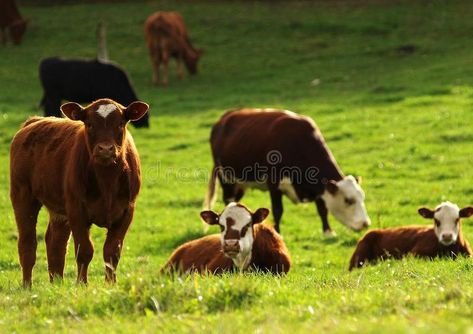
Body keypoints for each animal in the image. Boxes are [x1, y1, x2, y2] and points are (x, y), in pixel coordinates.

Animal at [9, 98, 149, 286]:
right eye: (89, 124)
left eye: (120, 123)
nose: (105, 149)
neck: (107, 182)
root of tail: (34, 121)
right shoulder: (77, 210)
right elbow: (84, 250)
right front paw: (82, 284)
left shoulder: (126, 211)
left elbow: (112, 252)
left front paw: (111, 284)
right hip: (23, 196)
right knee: (27, 243)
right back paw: (27, 286)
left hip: (59, 211)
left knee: (56, 243)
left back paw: (57, 283)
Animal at [205, 109, 370, 235]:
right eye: (348, 200)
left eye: (362, 197)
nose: (365, 224)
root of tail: (223, 119)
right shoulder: (274, 183)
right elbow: (278, 210)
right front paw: (277, 232)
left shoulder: (317, 187)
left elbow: (322, 209)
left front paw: (328, 232)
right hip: (227, 179)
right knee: (229, 200)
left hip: (240, 184)